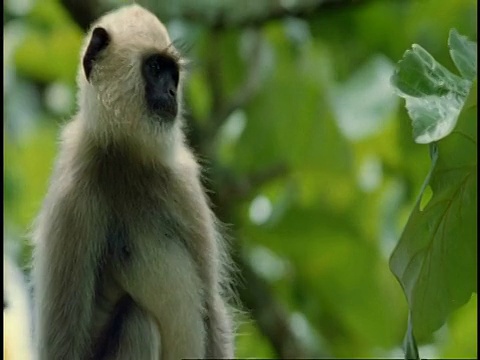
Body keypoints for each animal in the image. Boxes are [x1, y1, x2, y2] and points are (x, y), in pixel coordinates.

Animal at [32, 5, 235, 360]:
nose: (171, 93)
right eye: (155, 68)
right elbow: (61, 343)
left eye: (173, 75)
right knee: (136, 320)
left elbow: (211, 308)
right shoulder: (70, 198)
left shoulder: (183, 180)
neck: (126, 156)